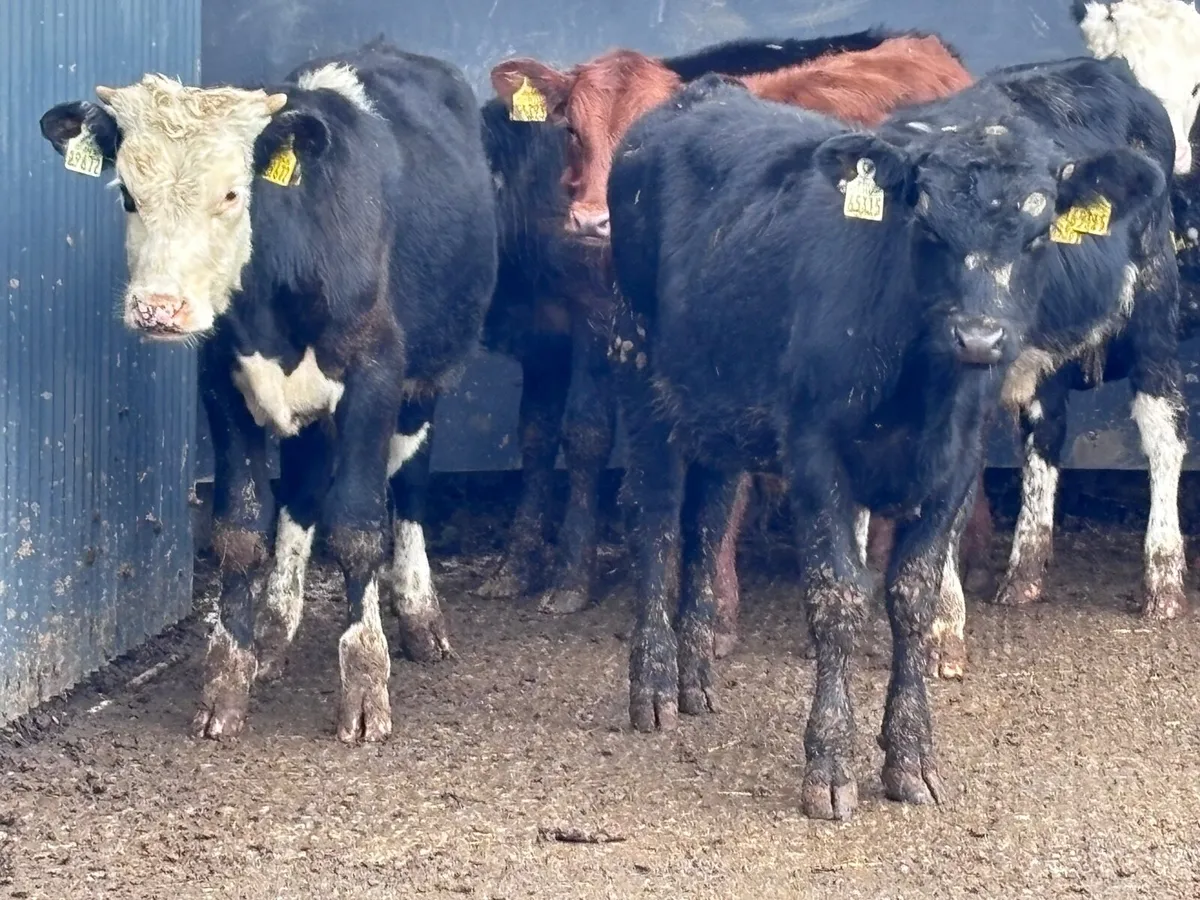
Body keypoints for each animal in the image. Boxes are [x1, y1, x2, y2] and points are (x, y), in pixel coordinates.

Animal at [38, 39, 499, 743]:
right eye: (129, 197)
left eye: (233, 193)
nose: (159, 308)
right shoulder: (223, 384)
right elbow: (241, 529)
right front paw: (229, 677)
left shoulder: (376, 374)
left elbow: (358, 526)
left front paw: (366, 683)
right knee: (303, 489)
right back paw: (276, 631)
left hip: (431, 375)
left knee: (411, 483)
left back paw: (419, 613)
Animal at [604, 60, 1170, 819]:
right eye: (926, 223)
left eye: (1038, 231)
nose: (980, 337)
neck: (919, 384)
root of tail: (701, 94)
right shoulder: (815, 453)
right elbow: (839, 596)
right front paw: (829, 764)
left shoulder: (958, 462)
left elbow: (913, 595)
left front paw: (911, 756)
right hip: (637, 367)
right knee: (658, 521)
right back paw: (656, 683)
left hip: (719, 404)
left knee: (706, 520)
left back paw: (696, 676)